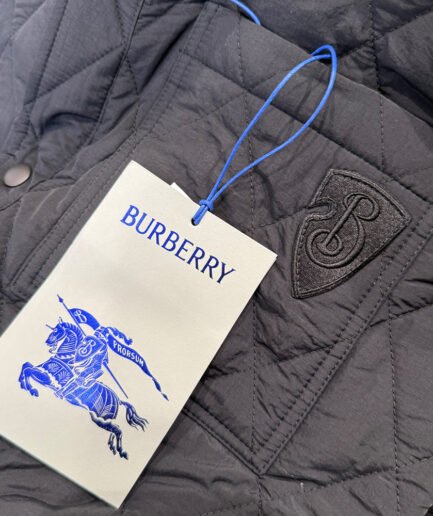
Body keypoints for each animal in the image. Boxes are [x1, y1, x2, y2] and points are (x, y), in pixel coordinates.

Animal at [18, 320, 148, 459]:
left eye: (57, 330)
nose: (48, 341)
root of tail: (119, 400)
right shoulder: (42, 371)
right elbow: (26, 365)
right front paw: (25, 385)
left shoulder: (47, 378)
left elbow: (28, 370)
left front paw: (31, 389)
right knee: (115, 429)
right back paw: (113, 447)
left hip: (100, 419)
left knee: (118, 431)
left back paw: (121, 451)